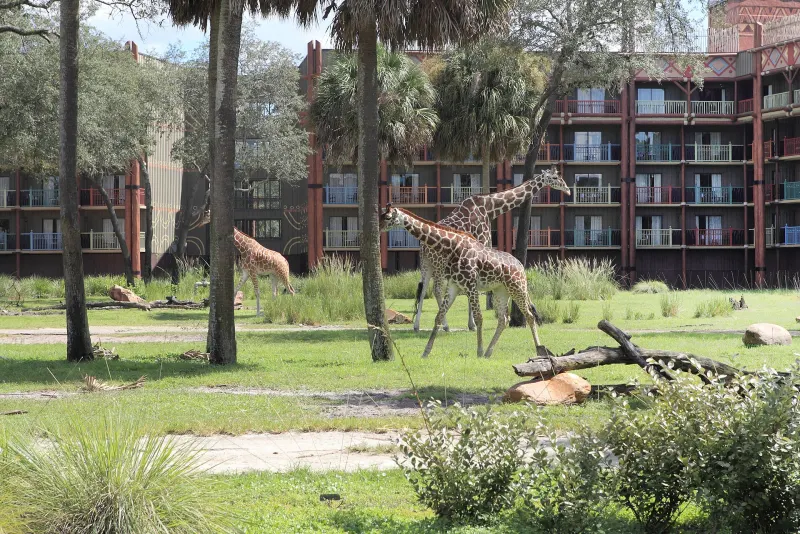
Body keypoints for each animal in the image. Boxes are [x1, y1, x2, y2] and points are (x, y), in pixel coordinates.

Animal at [382, 205, 546, 358]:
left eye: (388, 217)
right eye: (382, 214)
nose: (380, 228)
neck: (452, 247)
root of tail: (521, 266)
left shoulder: (471, 285)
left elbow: (479, 317)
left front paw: (479, 351)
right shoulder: (454, 286)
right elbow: (439, 316)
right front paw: (425, 352)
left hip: (517, 288)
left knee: (529, 316)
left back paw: (539, 350)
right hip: (501, 291)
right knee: (503, 319)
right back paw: (489, 352)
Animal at [413, 168, 570, 333]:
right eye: (555, 177)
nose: (568, 189)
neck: (490, 208)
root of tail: (423, 246)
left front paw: (472, 324)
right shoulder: (482, 242)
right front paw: (472, 324)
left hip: (426, 263)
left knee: (423, 288)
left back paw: (416, 325)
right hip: (439, 262)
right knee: (437, 289)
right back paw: (445, 325)